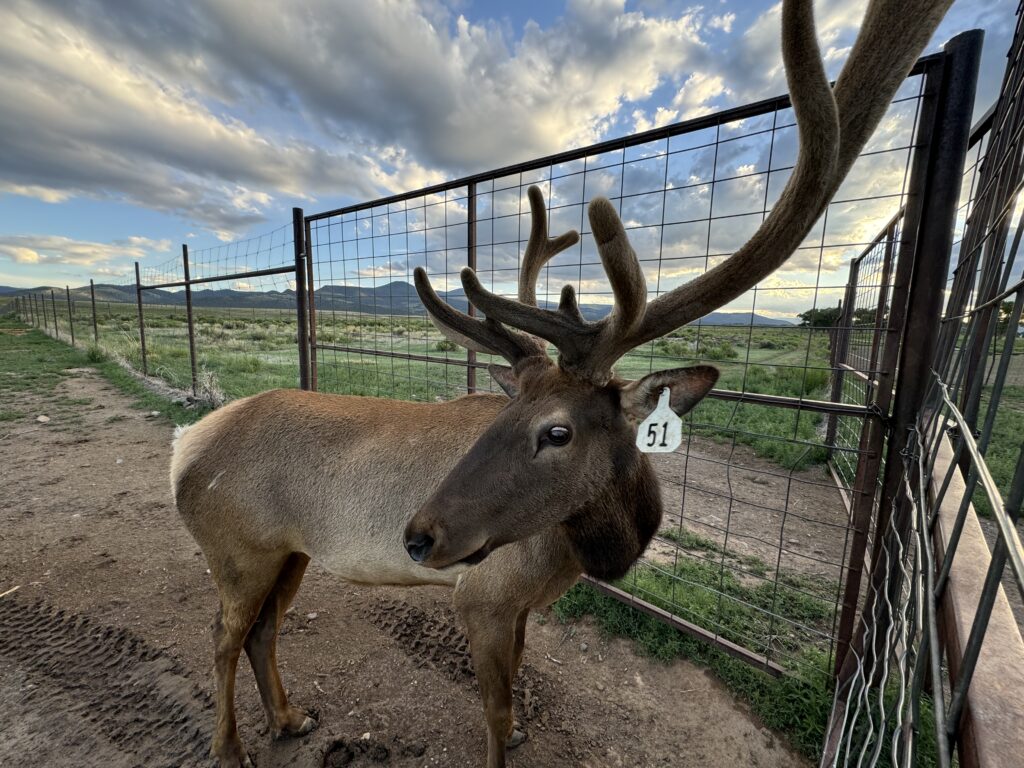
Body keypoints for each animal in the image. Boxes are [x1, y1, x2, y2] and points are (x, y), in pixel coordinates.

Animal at [174, 3, 950, 765]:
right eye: (497, 417)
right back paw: (230, 748)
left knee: (262, 631)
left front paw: (522, 727)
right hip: (238, 552)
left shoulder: (518, 606)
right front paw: (505, 738)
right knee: (220, 636)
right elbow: (493, 713)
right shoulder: (482, 597)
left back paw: (289, 718)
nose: (417, 537)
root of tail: (185, 445)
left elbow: (517, 685)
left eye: (557, 431)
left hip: (288, 552)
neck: (580, 553)